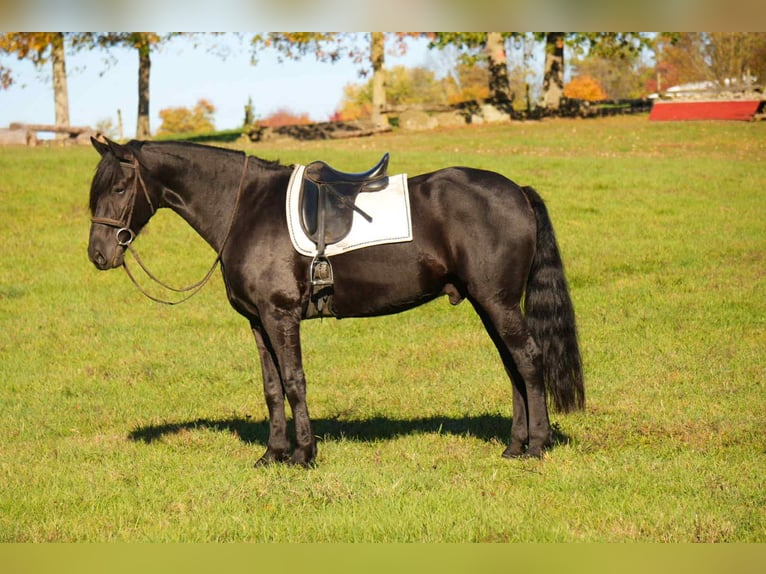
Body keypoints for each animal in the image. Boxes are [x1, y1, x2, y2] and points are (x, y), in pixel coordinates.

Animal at [87, 137, 584, 467]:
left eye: (119, 188)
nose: (98, 255)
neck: (246, 208)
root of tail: (517, 191)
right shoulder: (257, 321)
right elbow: (271, 388)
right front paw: (272, 454)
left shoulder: (281, 316)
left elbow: (294, 383)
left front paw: (304, 454)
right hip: (489, 303)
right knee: (513, 365)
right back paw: (514, 445)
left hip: (498, 301)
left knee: (529, 359)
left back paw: (536, 446)